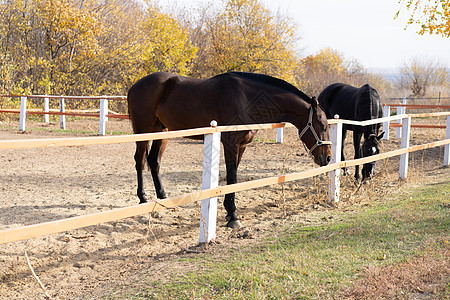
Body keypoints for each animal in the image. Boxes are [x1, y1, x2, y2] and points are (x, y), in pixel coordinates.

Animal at [128, 71, 332, 229]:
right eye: (322, 125)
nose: (328, 157)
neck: (246, 99)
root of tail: (134, 87)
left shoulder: (241, 146)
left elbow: (232, 179)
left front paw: (229, 213)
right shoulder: (231, 144)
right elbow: (232, 177)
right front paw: (233, 217)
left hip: (162, 131)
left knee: (154, 161)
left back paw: (163, 199)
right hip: (143, 131)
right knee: (140, 160)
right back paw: (143, 199)